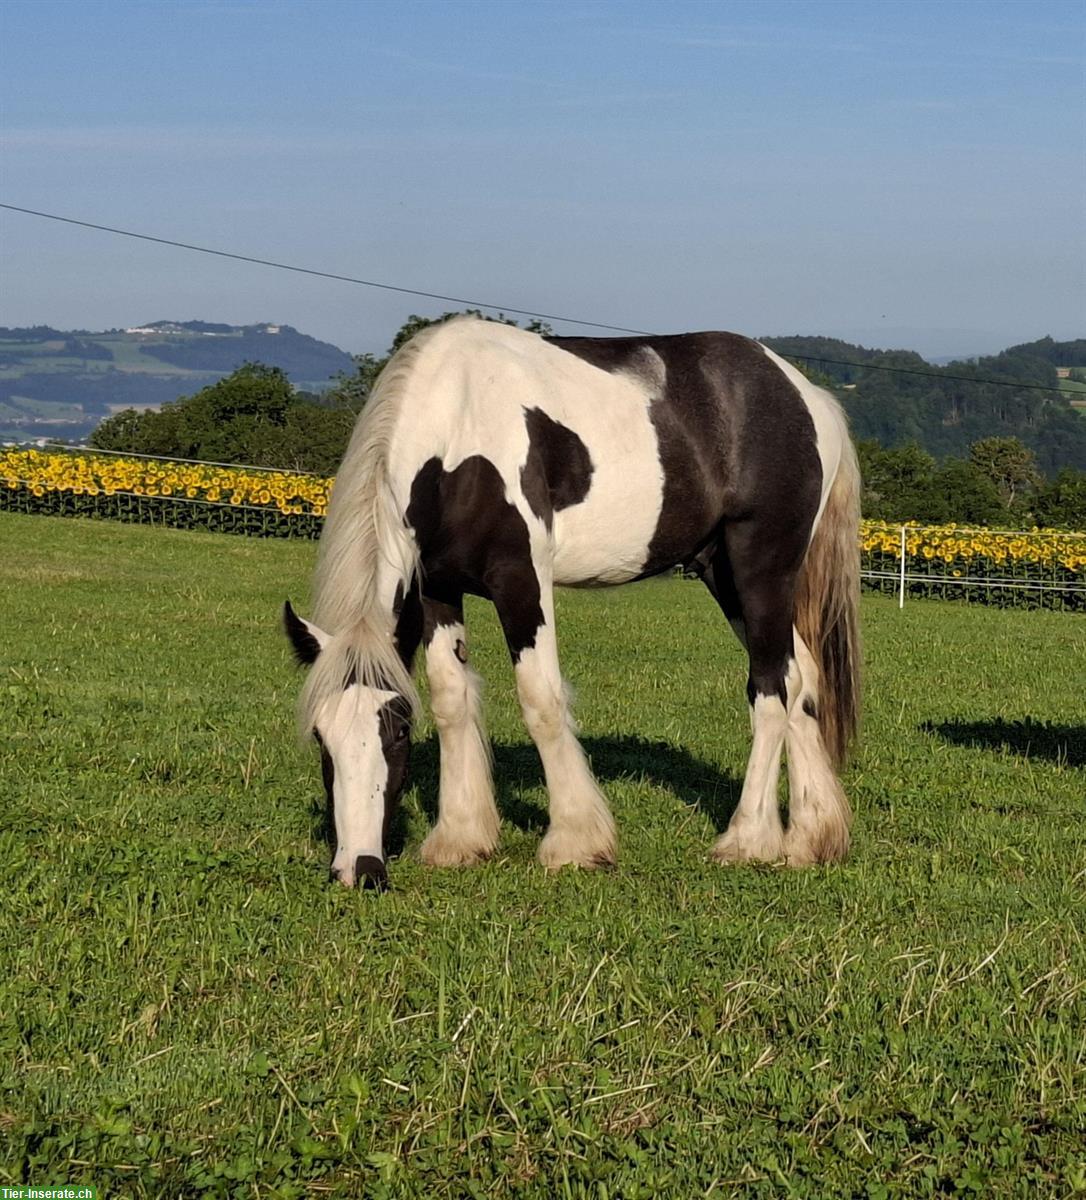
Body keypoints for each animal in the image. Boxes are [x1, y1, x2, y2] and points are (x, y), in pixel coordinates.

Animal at [284, 319, 859, 892]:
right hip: (724, 574)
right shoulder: (437, 589)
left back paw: (748, 839)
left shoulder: (521, 578)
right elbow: (451, 700)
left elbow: (541, 699)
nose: (359, 870)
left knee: (771, 689)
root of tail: (806, 395)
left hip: (760, 570)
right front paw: (460, 837)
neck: (457, 429)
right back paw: (810, 838)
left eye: (398, 731)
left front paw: (576, 843)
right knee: (801, 677)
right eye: (320, 736)